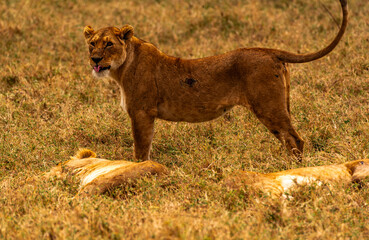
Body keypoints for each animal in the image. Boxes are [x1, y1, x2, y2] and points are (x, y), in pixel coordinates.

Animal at [82, 1, 346, 161]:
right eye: (92, 44)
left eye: (109, 44)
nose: (95, 59)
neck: (121, 69)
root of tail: (269, 51)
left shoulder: (142, 112)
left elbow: (141, 149)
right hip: (281, 104)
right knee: (289, 138)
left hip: (268, 107)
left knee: (296, 139)